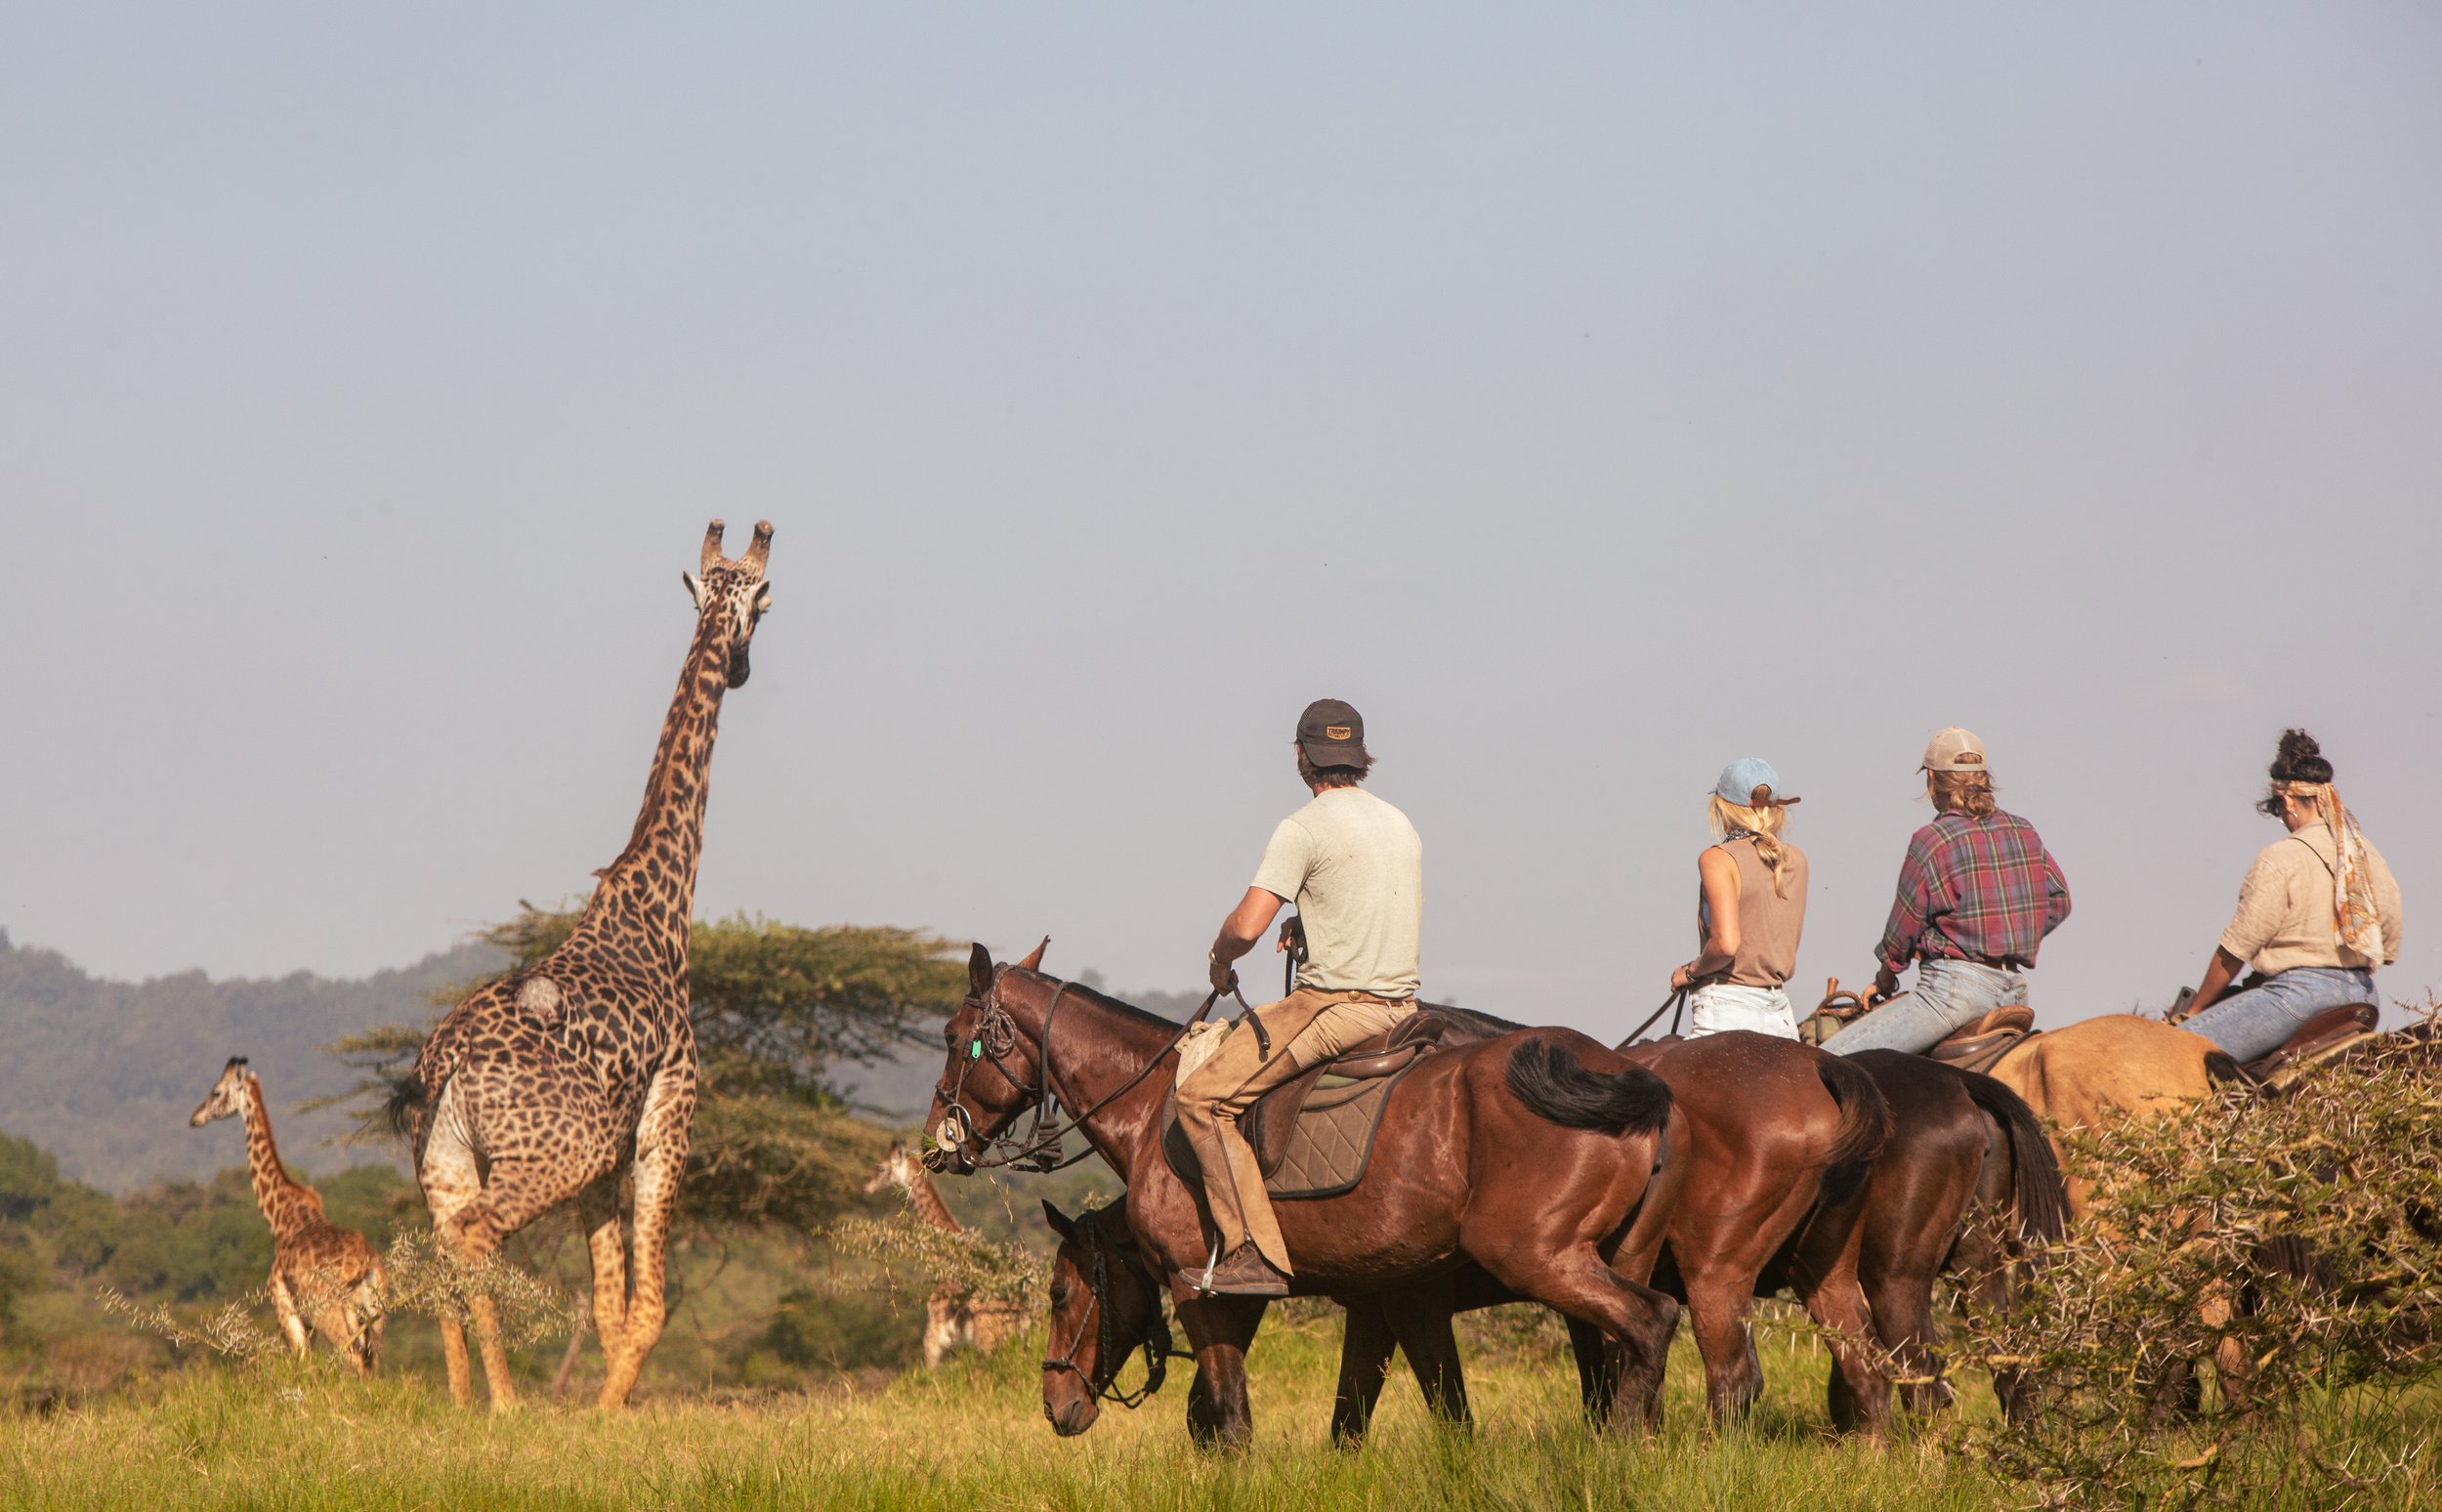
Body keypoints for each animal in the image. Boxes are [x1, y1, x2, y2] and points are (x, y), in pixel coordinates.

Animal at [925, 944, 1685, 1447]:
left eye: (954, 1038)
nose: (939, 1141)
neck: (1153, 1106)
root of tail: (1626, 1076)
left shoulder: (1208, 1292)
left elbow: (1228, 1419)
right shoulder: (1374, 1302)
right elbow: (1346, 1420)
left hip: (1540, 1258)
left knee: (1650, 1323)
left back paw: (1619, 1452)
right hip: (1616, 1255)